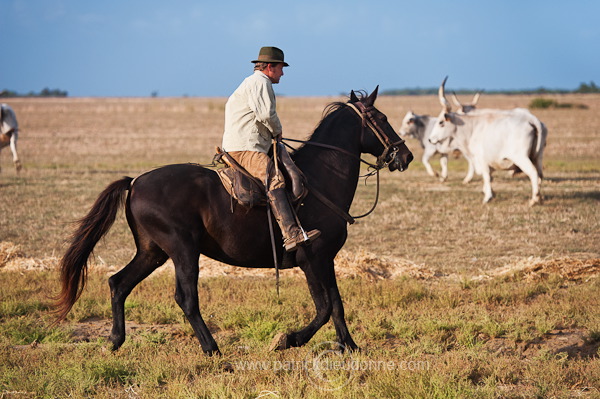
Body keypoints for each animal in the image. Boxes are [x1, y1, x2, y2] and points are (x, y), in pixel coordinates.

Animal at [56, 87, 412, 356]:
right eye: (381, 118)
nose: (405, 155)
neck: (320, 180)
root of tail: (135, 182)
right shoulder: (311, 258)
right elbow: (324, 307)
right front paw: (288, 339)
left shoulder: (326, 260)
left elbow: (336, 304)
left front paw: (350, 346)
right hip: (182, 250)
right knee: (186, 298)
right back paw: (212, 349)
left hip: (152, 252)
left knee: (119, 284)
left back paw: (115, 341)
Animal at [426, 77, 548, 206]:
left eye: (441, 122)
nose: (430, 139)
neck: (472, 127)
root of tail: (531, 120)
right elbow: (488, 176)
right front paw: (489, 193)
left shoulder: (481, 159)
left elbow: (486, 176)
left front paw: (487, 197)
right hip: (538, 157)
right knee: (540, 175)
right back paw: (540, 198)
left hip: (521, 157)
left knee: (533, 173)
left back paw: (534, 200)